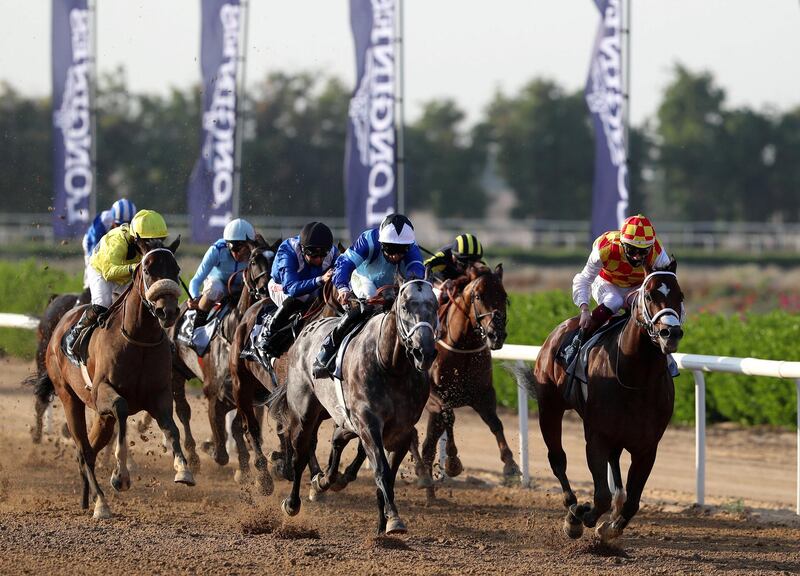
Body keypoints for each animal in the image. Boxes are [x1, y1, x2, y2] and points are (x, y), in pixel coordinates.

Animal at [35, 241, 195, 520]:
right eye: (148, 269)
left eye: (176, 269)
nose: (168, 311)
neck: (139, 339)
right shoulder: (104, 393)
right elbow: (121, 408)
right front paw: (121, 476)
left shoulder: (159, 395)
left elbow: (172, 428)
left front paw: (183, 470)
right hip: (69, 398)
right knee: (84, 450)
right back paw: (101, 504)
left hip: (102, 417)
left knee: (88, 450)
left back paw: (87, 499)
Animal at [167, 235, 276, 472]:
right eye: (253, 260)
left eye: (276, 260)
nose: (266, 289)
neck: (232, 332)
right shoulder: (214, 394)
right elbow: (221, 450)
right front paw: (212, 449)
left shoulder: (246, 396)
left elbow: (239, 428)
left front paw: (245, 465)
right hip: (176, 372)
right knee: (183, 410)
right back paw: (192, 455)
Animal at [272, 280, 440, 536]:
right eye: (405, 306)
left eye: (435, 306)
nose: (425, 352)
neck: (391, 366)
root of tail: (305, 331)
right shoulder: (369, 423)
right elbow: (381, 470)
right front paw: (393, 519)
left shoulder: (401, 431)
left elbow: (387, 476)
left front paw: (383, 524)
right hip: (305, 413)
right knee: (301, 452)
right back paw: (294, 501)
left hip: (341, 417)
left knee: (337, 439)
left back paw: (324, 480)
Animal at [412, 264, 520, 498]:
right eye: (478, 296)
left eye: (504, 296)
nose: (496, 334)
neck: (462, 347)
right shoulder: (436, 396)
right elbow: (450, 417)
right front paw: (452, 462)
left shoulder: (483, 393)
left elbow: (495, 423)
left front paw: (510, 465)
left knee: (428, 446)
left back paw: (430, 493)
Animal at [510, 258, 684, 544]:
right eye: (649, 295)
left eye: (680, 296)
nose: (671, 333)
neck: (635, 377)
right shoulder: (597, 435)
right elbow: (600, 496)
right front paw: (580, 516)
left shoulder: (647, 446)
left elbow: (632, 502)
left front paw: (609, 528)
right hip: (550, 407)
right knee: (557, 458)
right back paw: (572, 506)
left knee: (616, 471)